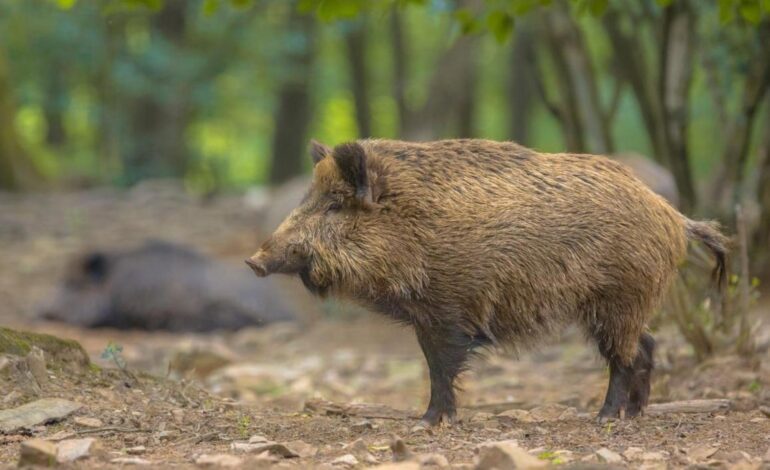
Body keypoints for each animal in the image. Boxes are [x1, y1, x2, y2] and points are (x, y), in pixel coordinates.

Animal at [246, 139, 728, 425]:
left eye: (334, 205)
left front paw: (428, 422)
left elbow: (441, 368)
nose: (253, 261)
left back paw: (604, 417)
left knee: (624, 357)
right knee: (646, 346)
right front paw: (431, 420)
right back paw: (633, 414)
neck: (409, 227)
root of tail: (676, 217)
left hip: (618, 299)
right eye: (308, 198)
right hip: (620, 306)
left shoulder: (447, 311)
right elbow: (434, 367)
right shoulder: (429, 315)